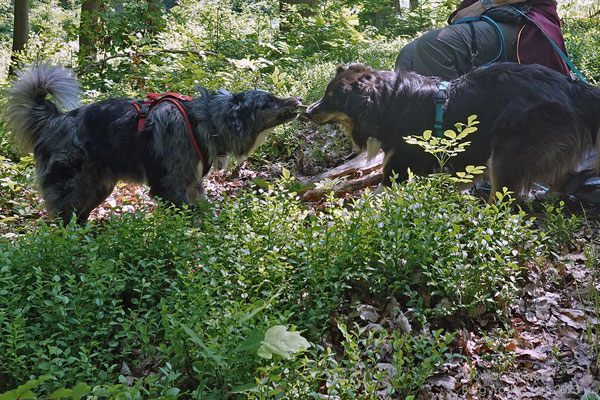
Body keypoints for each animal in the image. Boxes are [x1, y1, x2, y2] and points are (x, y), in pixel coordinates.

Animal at [5, 64, 300, 223]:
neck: (206, 120)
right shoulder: (170, 186)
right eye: (268, 101)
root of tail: (55, 120)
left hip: (98, 187)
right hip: (74, 188)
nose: (297, 101)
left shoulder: (193, 185)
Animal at [308, 64, 596, 202]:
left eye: (333, 98)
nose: (307, 111)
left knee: (504, 201)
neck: (388, 102)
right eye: (325, 93)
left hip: (507, 155)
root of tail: (572, 87)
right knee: (566, 178)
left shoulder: (398, 168)